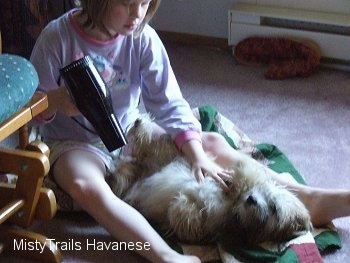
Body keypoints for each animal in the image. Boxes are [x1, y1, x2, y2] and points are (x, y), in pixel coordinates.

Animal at [109, 115, 312, 245]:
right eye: (272, 203)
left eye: (274, 211)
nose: (252, 200)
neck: (232, 204)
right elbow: (247, 171)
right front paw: (236, 180)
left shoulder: (207, 225)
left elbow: (184, 215)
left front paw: (181, 207)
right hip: (169, 153)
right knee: (151, 143)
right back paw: (139, 125)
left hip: (135, 175)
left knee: (125, 173)